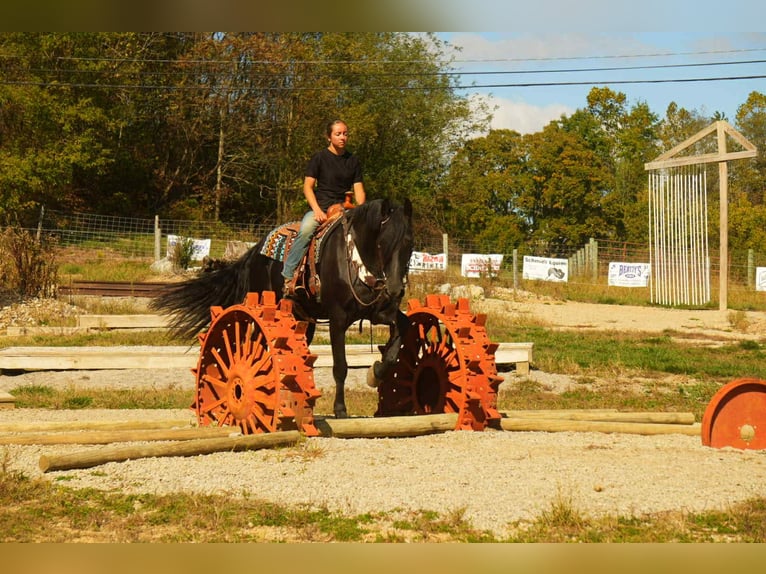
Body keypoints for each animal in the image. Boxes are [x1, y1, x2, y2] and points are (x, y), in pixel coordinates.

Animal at [150, 197, 414, 419]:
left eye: (409, 244)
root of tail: (254, 252)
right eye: (383, 242)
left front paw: (376, 372)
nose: (395, 288)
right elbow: (340, 366)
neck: (357, 260)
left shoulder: (379, 312)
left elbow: (400, 331)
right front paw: (340, 410)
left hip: (302, 320)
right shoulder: (338, 319)